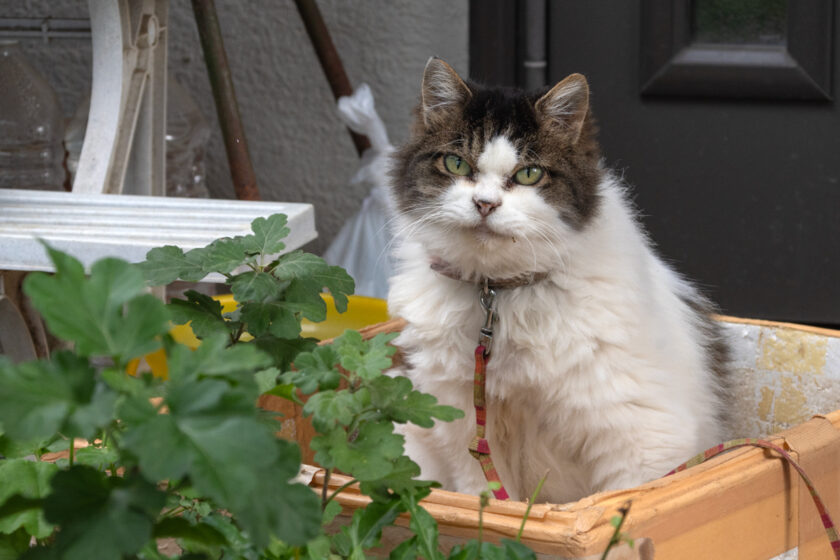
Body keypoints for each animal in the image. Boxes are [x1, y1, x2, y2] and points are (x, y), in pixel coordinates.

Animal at [388, 59, 728, 506]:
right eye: (457, 165)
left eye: (529, 174)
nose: (484, 204)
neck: (498, 293)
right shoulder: (464, 426)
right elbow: (490, 501)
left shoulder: (641, 435)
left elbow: (626, 509)